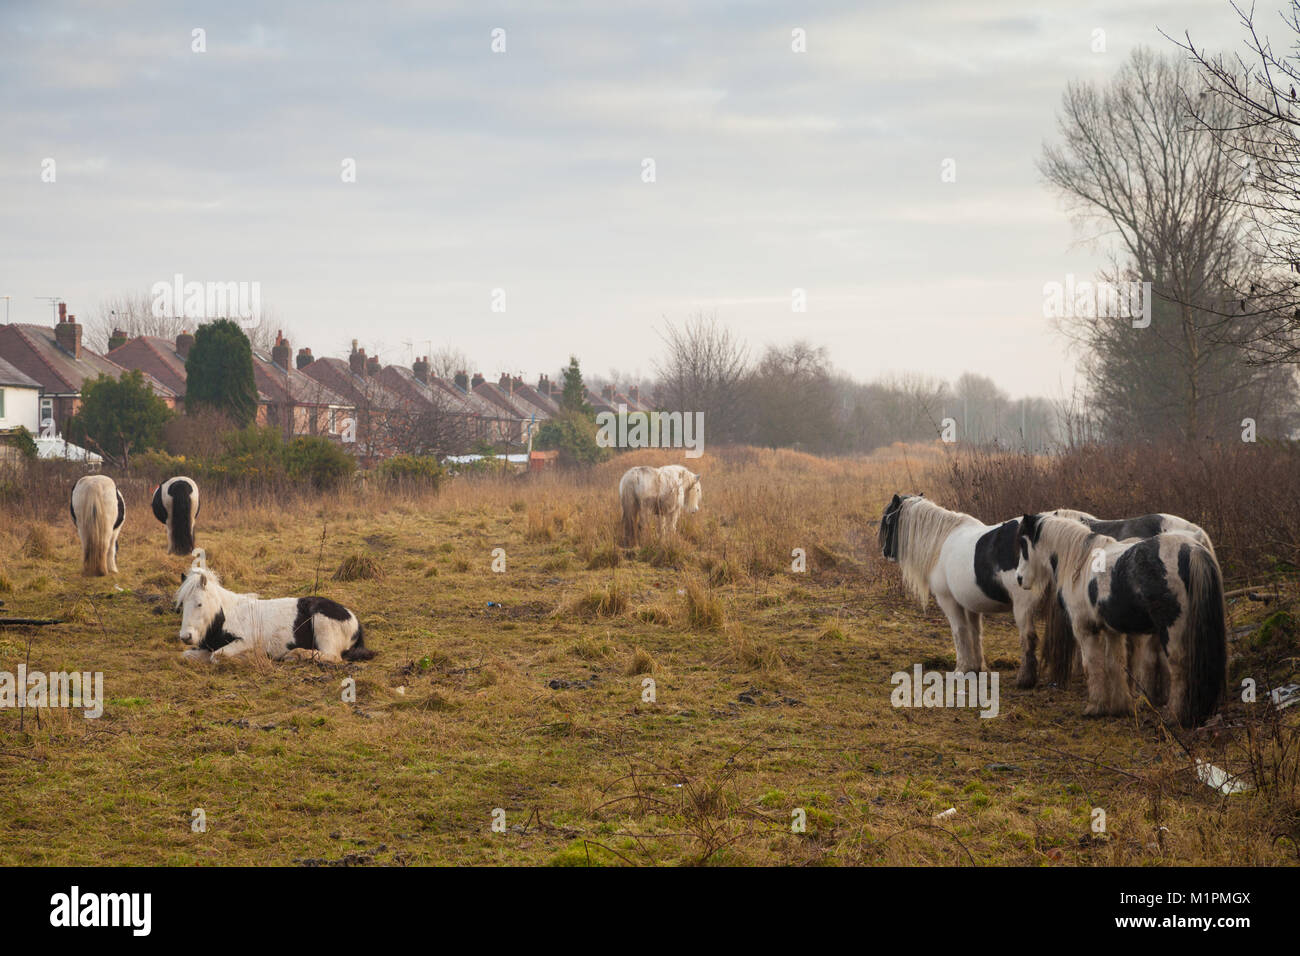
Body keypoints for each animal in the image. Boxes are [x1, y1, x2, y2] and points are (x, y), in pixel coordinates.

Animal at [174, 567, 377, 665]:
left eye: (199, 603)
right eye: (182, 604)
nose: (185, 637)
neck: (226, 617)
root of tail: (353, 619)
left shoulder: (245, 641)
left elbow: (217, 656)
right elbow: (188, 655)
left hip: (321, 625)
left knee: (332, 656)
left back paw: (296, 655)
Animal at [873, 496, 1045, 686]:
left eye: (889, 520)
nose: (885, 552)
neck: (941, 542)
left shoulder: (948, 600)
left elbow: (959, 631)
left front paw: (962, 668)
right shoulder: (971, 603)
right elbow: (975, 633)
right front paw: (978, 668)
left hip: (1023, 605)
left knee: (1028, 637)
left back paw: (1025, 679)